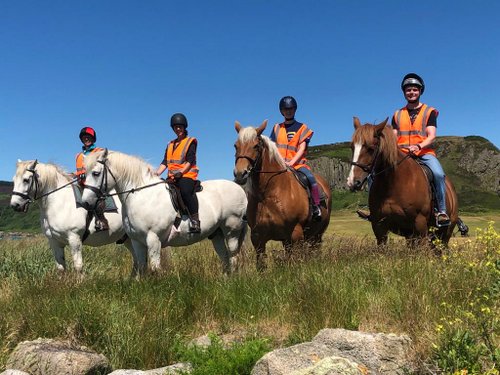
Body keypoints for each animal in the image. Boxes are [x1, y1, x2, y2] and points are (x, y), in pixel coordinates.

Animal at [79, 149, 248, 276]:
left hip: (231, 230)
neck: (141, 195)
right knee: (224, 256)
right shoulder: (137, 240)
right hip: (216, 233)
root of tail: (240, 189)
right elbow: (142, 267)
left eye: (95, 173)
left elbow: (154, 269)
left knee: (233, 255)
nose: (85, 202)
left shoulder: (153, 239)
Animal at [233, 120, 332, 270]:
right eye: (235, 146)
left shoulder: (296, 234)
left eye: (256, 146)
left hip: (317, 234)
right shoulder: (257, 239)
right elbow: (261, 267)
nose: (240, 174)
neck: (268, 195)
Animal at [346, 117, 458, 247]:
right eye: (352, 147)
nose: (353, 182)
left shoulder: (420, 225)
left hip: (444, 234)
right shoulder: (379, 227)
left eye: (371, 148)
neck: (393, 184)